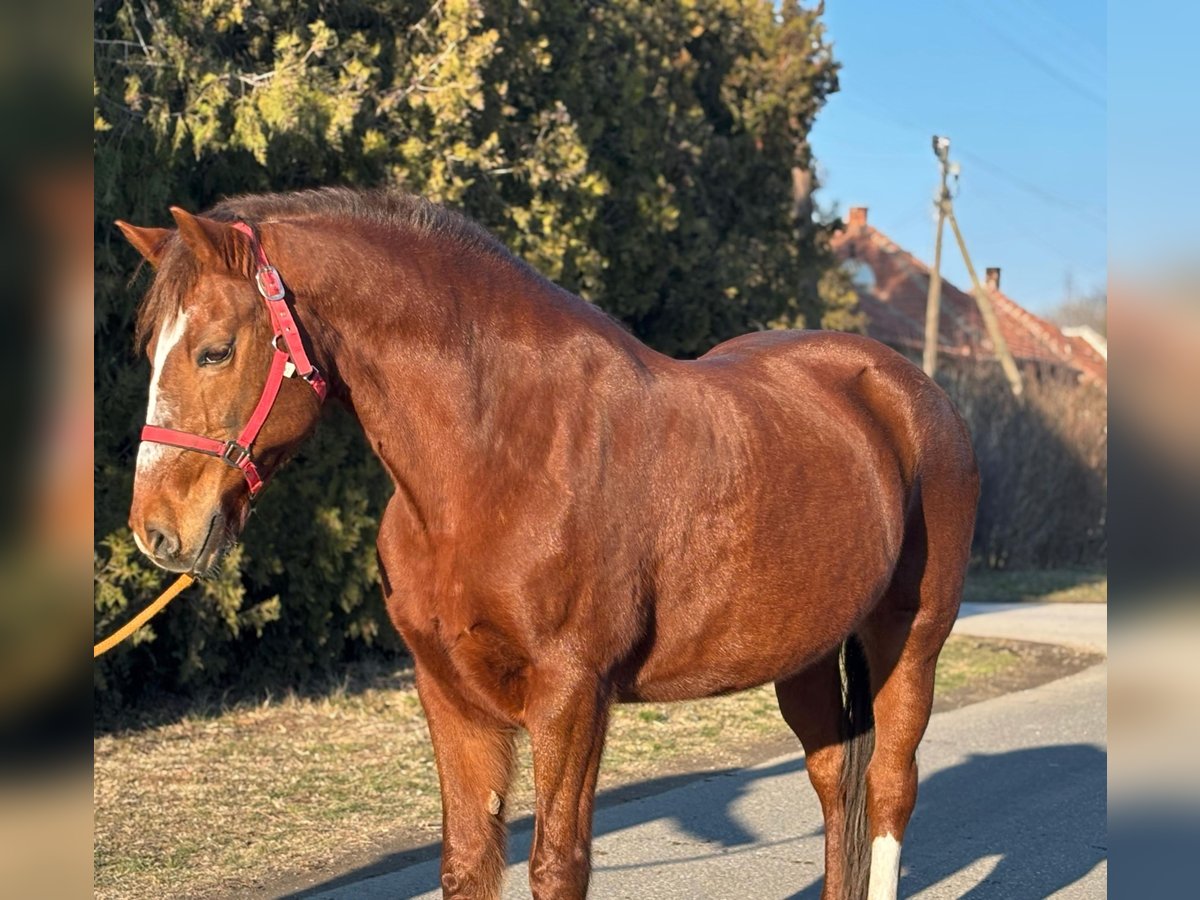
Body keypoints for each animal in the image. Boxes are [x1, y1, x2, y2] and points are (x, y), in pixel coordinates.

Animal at [114, 190, 974, 900]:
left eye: (215, 349)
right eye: (150, 349)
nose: (158, 531)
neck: (497, 458)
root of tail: (906, 389)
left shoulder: (570, 697)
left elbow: (558, 866)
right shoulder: (449, 694)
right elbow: (467, 863)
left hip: (911, 641)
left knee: (890, 789)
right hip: (802, 652)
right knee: (835, 783)